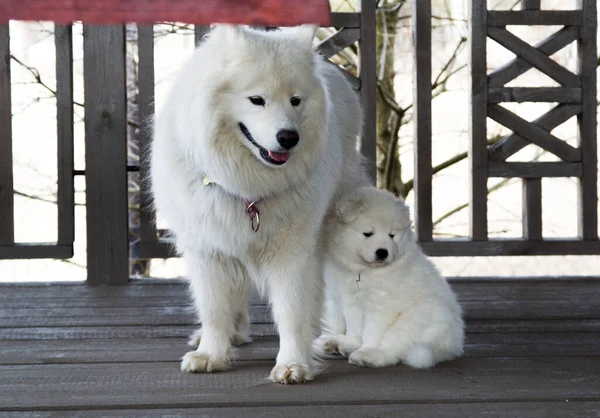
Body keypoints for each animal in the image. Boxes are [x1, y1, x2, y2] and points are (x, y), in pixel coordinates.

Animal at [150, 22, 368, 382]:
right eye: (256, 100)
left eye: (295, 101)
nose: (289, 137)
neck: (247, 185)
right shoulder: (209, 249)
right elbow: (214, 309)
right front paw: (211, 353)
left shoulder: (294, 252)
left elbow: (292, 311)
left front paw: (293, 364)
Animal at [318, 188, 464, 368]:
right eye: (368, 234)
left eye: (392, 235)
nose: (382, 252)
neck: (365, 271)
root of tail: (453, 347)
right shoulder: (350, 300)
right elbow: (355, 327)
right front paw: (352, 343)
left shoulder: (381, 306)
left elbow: (372, 332)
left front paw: (364, 348)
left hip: (415, 320)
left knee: (392, 350)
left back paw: (367, 356)